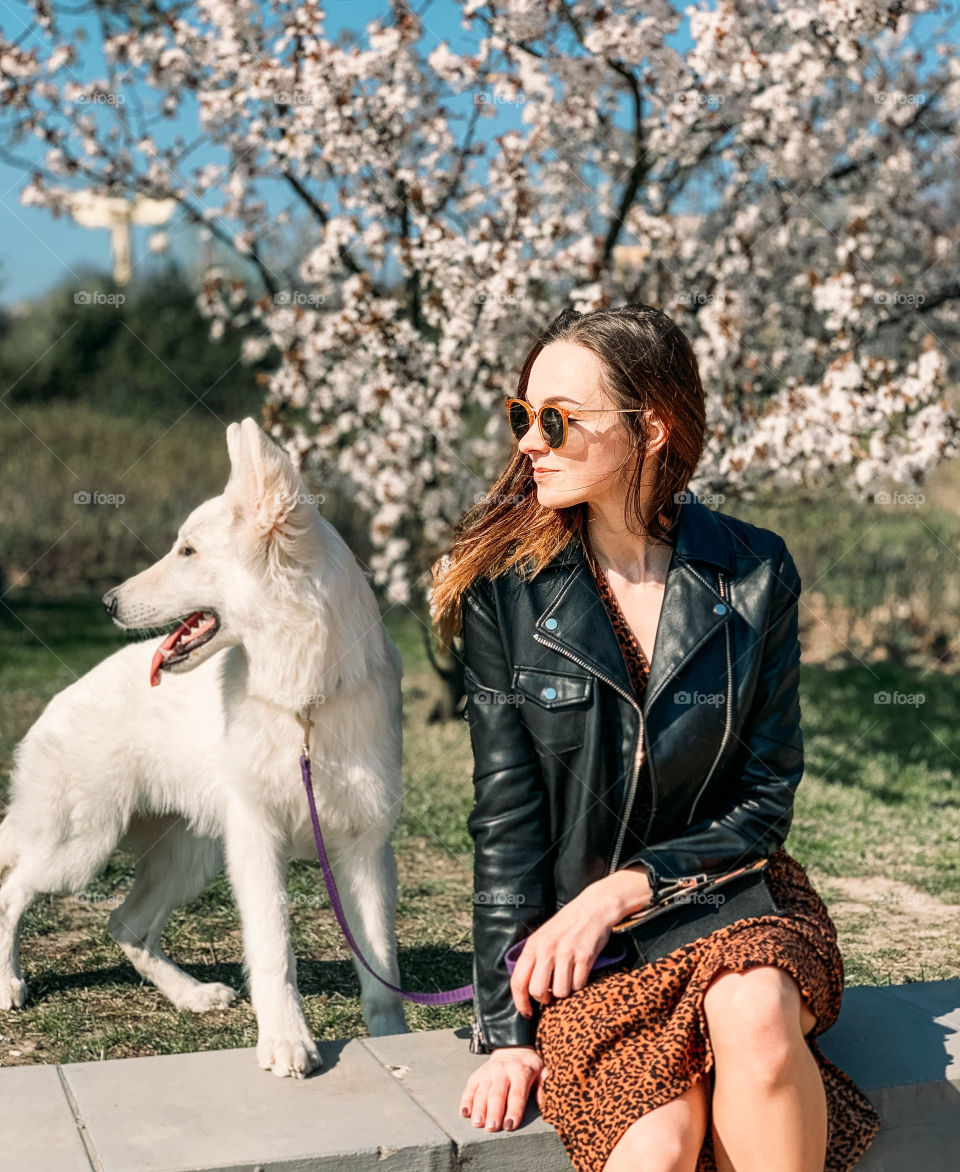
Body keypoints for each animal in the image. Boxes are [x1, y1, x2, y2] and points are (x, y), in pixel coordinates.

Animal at [0, 417, 410, 1073]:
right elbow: (273, 947)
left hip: (189, 858)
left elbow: (381, 967)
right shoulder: (257, 842)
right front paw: (286, 1041)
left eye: (188, 552)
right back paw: (10, 982)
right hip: (79, 850)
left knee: (125, 923)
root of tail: (60, 699)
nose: (108, 603)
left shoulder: (365, 850)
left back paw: (190, 995)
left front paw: (395, 1041)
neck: (302, 699)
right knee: (14, 890)